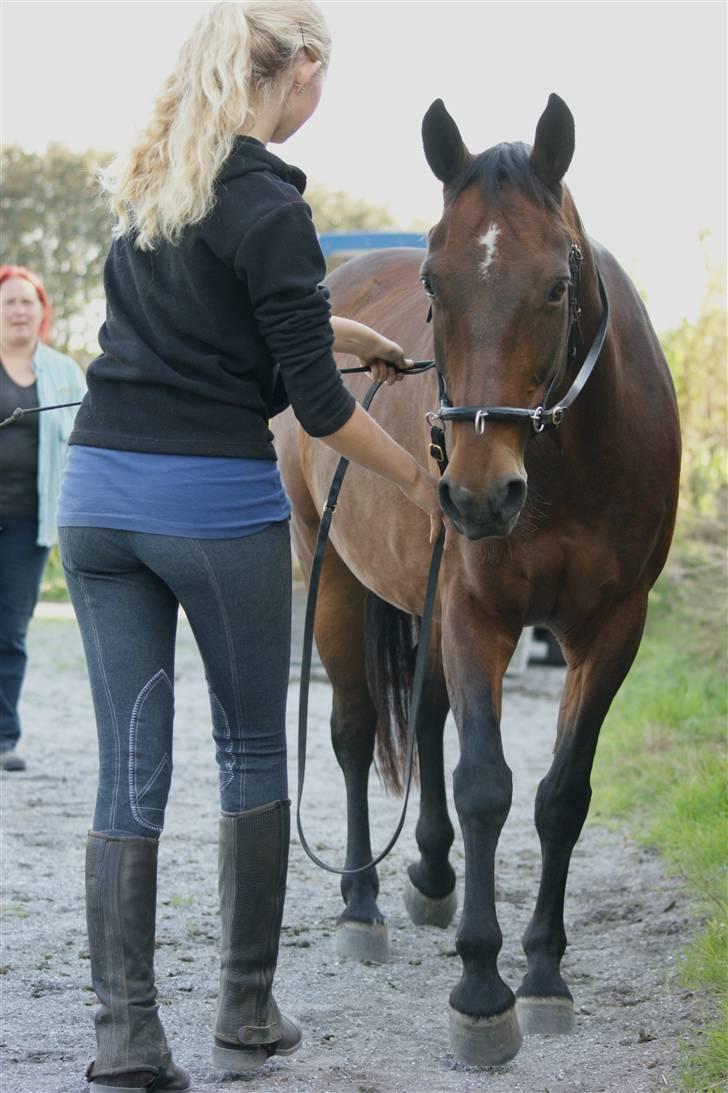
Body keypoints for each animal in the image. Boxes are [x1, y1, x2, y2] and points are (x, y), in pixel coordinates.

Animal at [272, 96, 682, 1066]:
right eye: (434, 284)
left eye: (557, 285)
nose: (478, 493)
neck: (570, 461)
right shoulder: (476, 615)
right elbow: (486, 784)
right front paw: (483, 990)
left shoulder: (612, 629)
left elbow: (561, 795)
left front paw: (543, 972)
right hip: (332, 576)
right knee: (354, 733)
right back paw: (362, 901)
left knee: (423, 718)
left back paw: (428, 874)